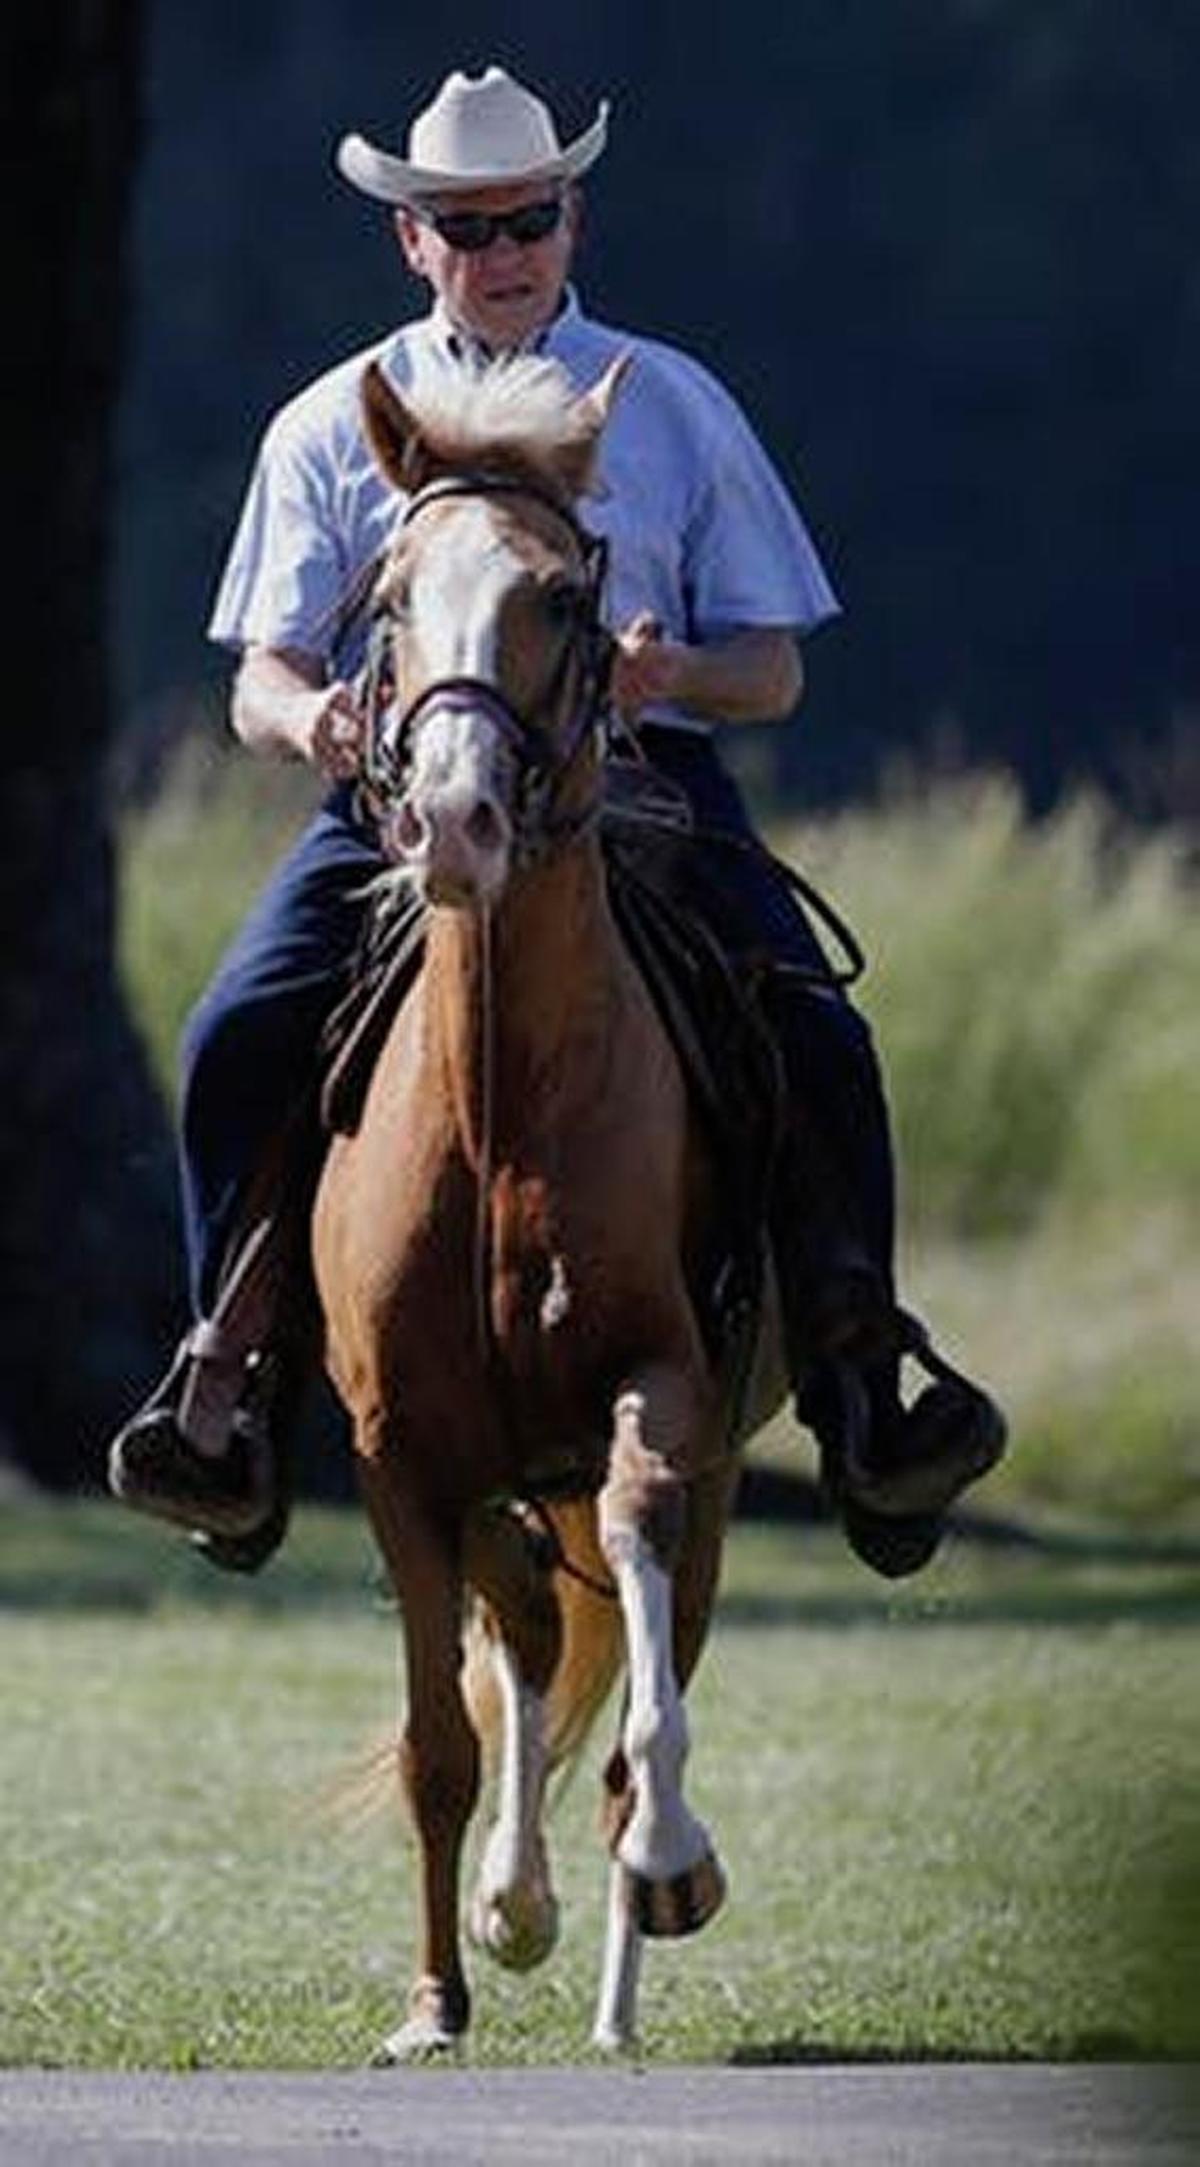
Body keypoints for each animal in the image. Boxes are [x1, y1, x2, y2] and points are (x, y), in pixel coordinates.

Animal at [312, 350, 785, 2060]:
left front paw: (671, 1857)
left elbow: (644, 1660)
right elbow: (441, 1738)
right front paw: (438, 1994)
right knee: (517, 1639)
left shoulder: (665, 1388)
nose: (455, 823)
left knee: (647, 1634)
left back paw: (623, 1984)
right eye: (390, 596)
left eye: (567, 597)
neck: (504, 1110)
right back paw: (514, 1910)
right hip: (504, 1473)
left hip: (705, 1456)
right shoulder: (397, 1450)